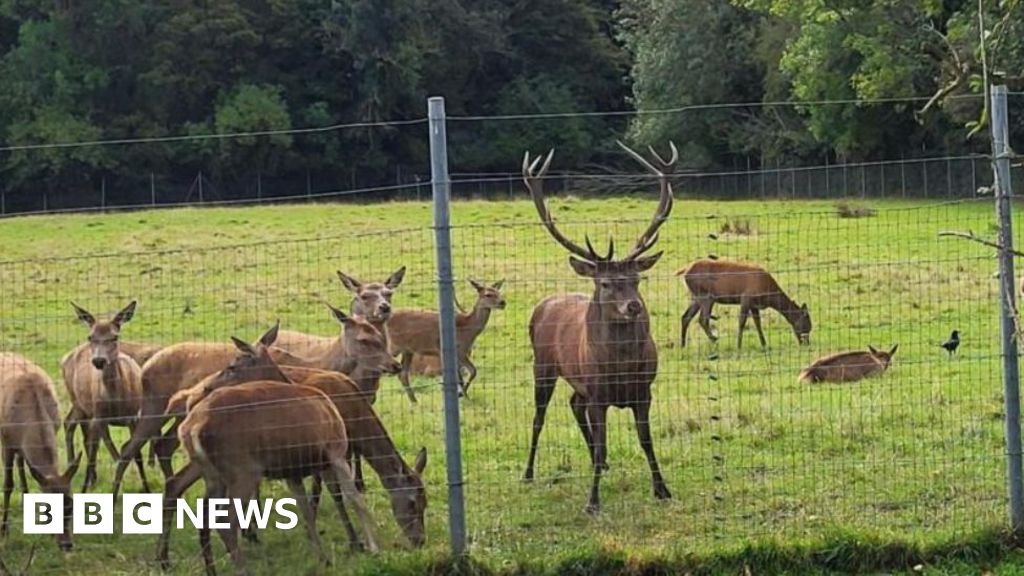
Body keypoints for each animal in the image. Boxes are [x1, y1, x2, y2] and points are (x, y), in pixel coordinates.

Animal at [0, 353, 80, 551]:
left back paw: (25, 496)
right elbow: (7, 484)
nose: (66, 544)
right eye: (47, 510)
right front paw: (4, 530)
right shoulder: (6, 442)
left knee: (23, 462)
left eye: (71, 506)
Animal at [60, 301, 149, 492]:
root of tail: (65, 357)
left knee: (76, 426)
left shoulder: (133, 417)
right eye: (90, 336)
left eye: (114, 337)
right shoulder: (99, 416)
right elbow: (102, 453)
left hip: (84, 408)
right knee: (74, 427)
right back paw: (76, 469)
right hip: (78, 401)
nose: (99, 360)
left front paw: (146, 488)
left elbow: (136, 455)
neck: (117, 400)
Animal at [179, 380, 379, 575]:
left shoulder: (293, 473)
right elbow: (356, 500)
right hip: (242, 470)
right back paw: (244, 570)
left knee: (205, 517)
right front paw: (373, 548)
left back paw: (212, 570)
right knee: (225, 521)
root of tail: (191, 428)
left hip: (213, 476)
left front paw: (323, 559)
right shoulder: (335, 451)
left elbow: (307, 513)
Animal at [521, 141, 676, 514]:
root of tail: (543, 304)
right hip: (543, 366)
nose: (633, 306)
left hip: (577, 382)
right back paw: (528, 473)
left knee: (573, 404)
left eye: (636, 279)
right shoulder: (598, 393)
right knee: (538, 418)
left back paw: (599, 463)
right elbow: (605, 440)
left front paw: (662, 489)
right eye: (606, 283)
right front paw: (592, 502)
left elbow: (647, 441)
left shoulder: (643, 391)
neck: (620, 368)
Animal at [676, 258, 812, 349]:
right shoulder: (746, 298)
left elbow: (758, 323)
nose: (806, 343)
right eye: (806, 324)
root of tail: (685, 270)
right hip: (706, 296)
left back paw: (683, 345)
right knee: (702, 319)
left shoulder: (754, 305)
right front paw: (739, 346)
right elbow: (742, 322)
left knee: (685, 317)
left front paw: (764, 344)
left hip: (695, 296)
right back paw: (714, 338)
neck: (768, 295)